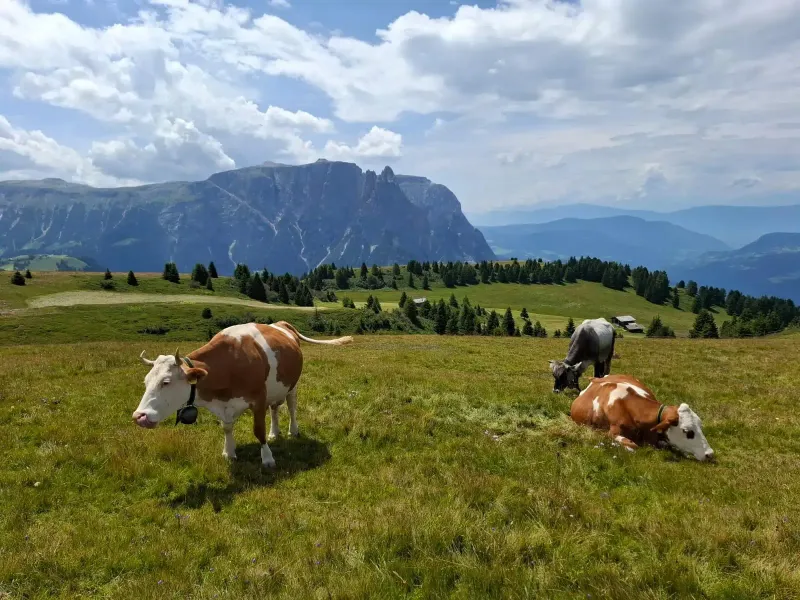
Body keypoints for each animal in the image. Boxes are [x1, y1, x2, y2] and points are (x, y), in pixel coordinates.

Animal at [132, 321, 353, 468]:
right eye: (145, 382)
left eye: (165, 382)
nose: (139, 416)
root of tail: (281, 324)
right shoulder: (226, 404)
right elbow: (227, 428)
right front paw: (229, 452)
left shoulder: (258, 399)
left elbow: (258, 430)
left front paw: (267, 458)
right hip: (275, 388)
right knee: (275, 409)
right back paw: (275, 432)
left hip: (292, 386)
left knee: (291, 407)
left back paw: (293, 430)